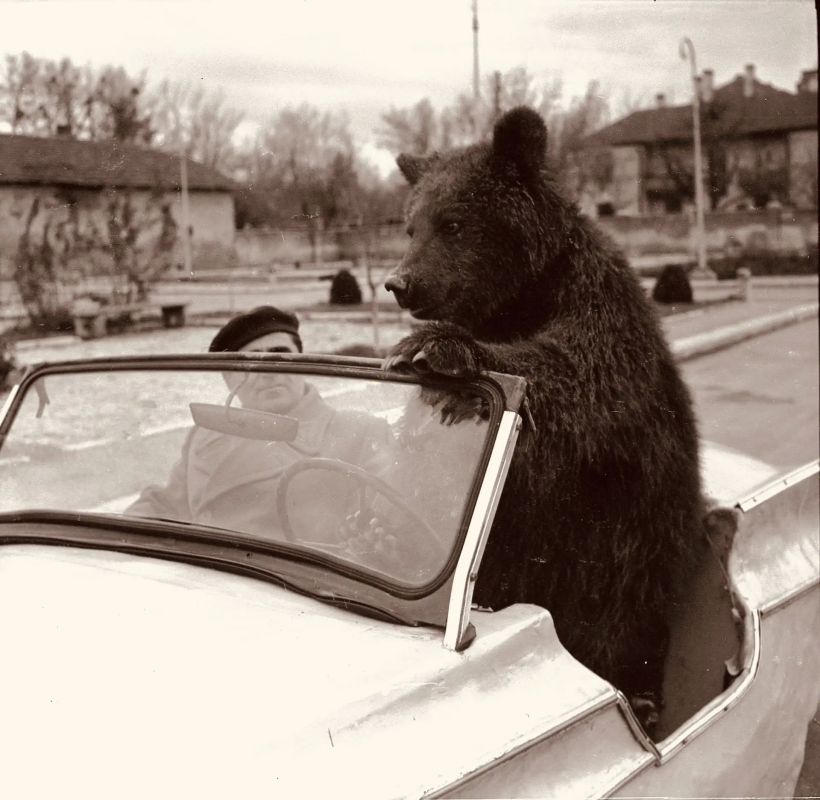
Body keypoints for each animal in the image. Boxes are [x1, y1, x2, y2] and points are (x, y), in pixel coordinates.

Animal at [383, 106, 704, 735]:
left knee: (619, 619)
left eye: (453, 222)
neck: (517, 297)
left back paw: (643, 700)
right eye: (409, 225)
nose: (400, 283)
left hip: (634, 548)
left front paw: (435, 349)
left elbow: (577, 375)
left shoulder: (597, 314)